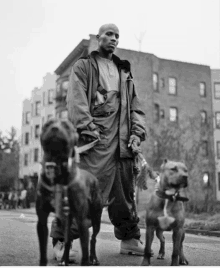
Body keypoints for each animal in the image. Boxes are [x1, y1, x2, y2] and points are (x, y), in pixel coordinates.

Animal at [36, 119, 104, 266]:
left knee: (93, 239)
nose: (55, 128)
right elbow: (43, 252)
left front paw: (87, 260)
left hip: (96, 218)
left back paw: (93, 258)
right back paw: (64, 260)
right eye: (47, 124)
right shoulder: (42, 220)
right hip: (66, 221)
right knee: (68, 240)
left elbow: (85, 250)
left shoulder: (82, 221)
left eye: (67, 126)